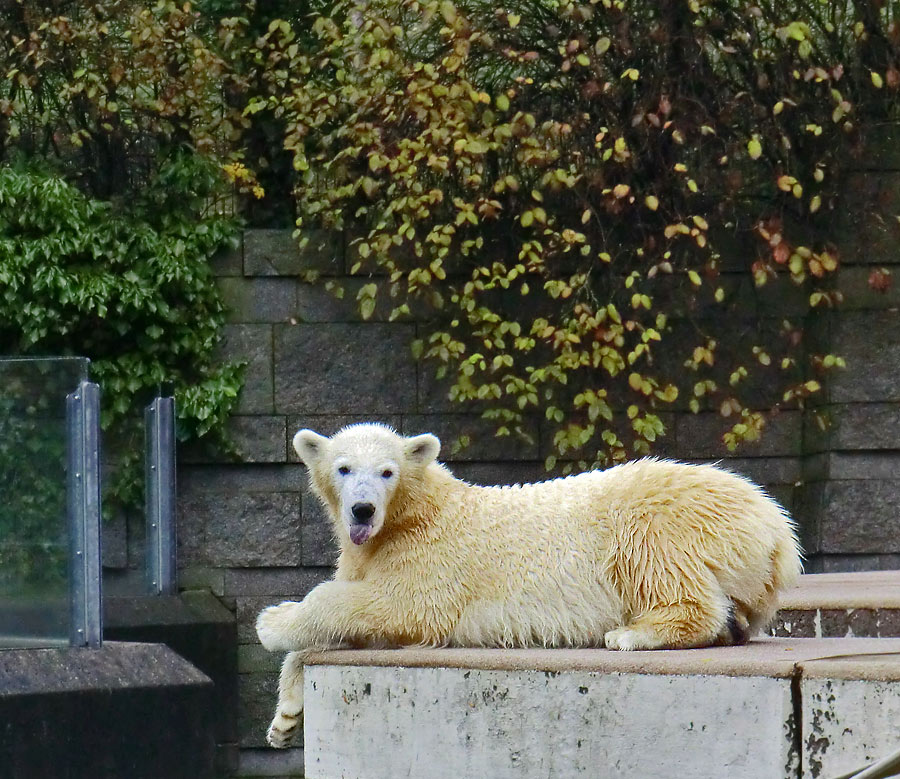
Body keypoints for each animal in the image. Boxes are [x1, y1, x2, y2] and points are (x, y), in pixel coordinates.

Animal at [258, 426, 800, 748]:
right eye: (343, 467)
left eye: (387, 471)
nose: (362, 509)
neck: (416, 513)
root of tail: (776, 525)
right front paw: (285, 720)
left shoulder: (433, 558)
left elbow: (398, 606)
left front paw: (272, 622)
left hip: (663, 516)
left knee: (660, 563)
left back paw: (633, 632)